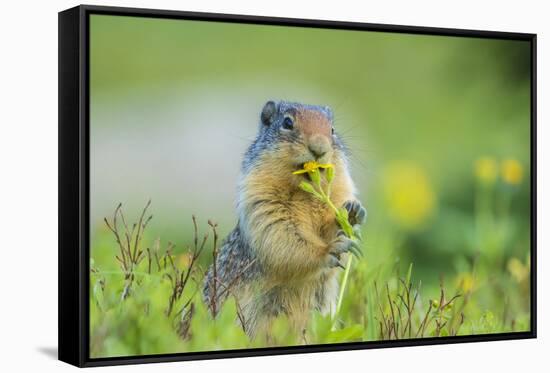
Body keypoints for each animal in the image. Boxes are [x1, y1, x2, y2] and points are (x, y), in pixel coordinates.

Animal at [203, 100, 366, 338]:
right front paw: (331, 248)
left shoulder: (338, 190)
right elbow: (282, 236)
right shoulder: (262, 202)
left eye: (332, 129)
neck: (306, 191)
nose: (320, 147)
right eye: (287, 123)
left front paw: (353, 212)